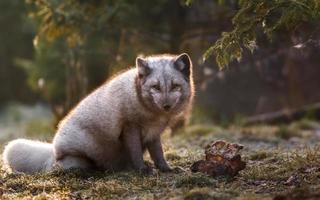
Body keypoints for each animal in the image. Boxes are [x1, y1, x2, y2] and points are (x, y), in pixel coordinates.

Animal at [2, 54, 194, 174]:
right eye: (155, 87)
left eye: (175, 86)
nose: (167, 106)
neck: (152, 114)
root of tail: (53, 151)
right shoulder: (130, 128)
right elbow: (136, 153)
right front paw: (142, 170)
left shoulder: (153, 134)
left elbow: (159, 154)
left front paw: (166, 169)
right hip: (81, 156)